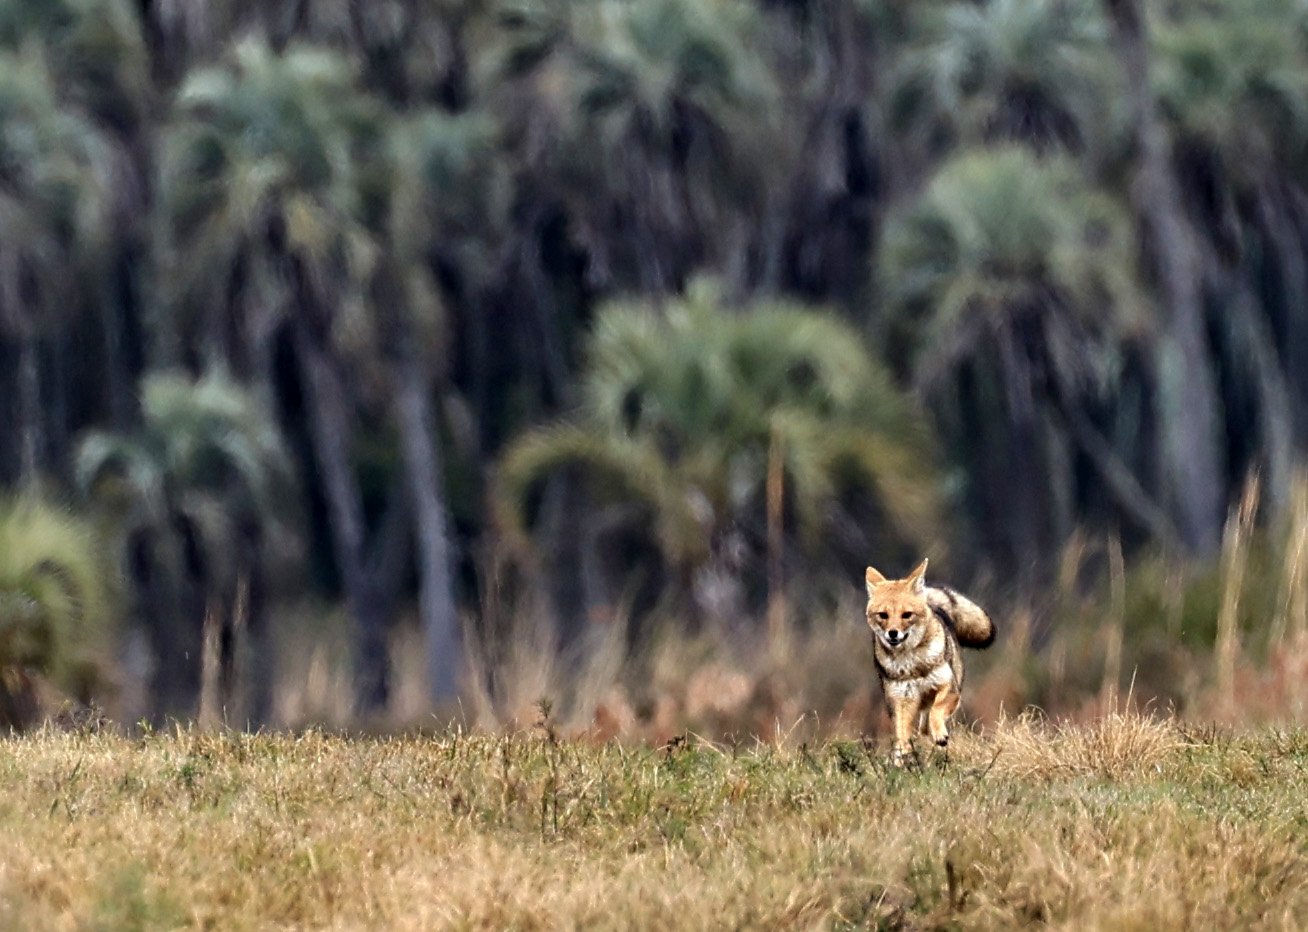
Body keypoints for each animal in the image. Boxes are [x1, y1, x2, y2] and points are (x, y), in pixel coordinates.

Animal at [864, 559, 995, 764]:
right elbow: (902, 733)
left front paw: (940, 735)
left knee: (926, 723)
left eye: (907, 615)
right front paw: (901, 756)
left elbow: (936, 711)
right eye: (883, 615)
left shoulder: (949, 688)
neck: (912, 665)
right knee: (918, 729)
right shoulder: (902, 701)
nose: (893, 633)